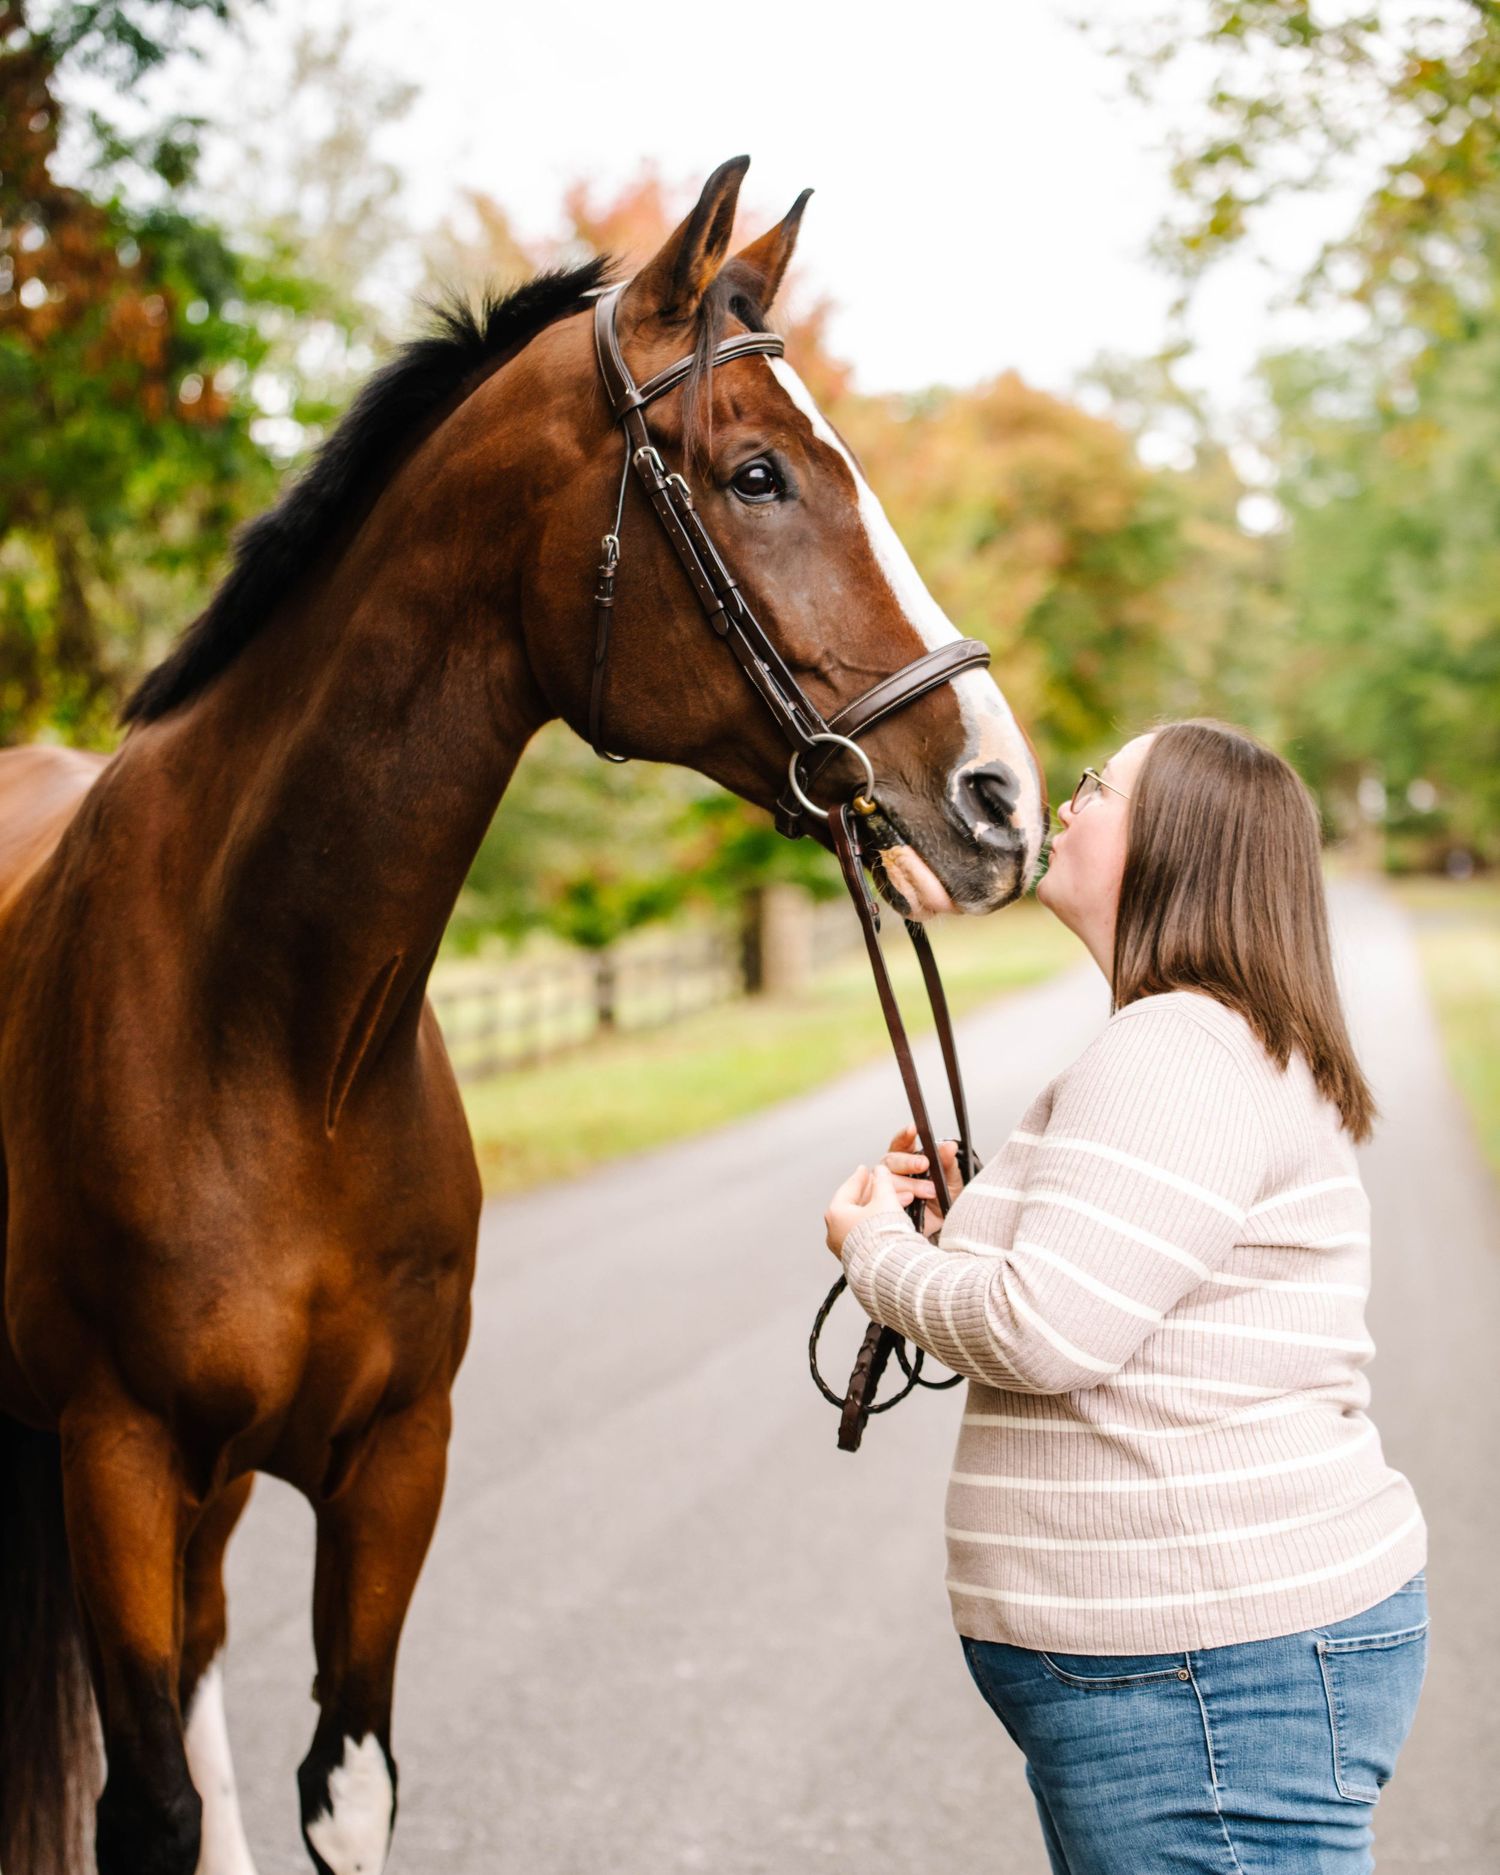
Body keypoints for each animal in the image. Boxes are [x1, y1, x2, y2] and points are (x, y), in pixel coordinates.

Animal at [0, 155, 1045, 1875]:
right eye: (758, 473)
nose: (998, 795)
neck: (275, 1036)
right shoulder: (114, 1455)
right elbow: (148, 1812)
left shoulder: (390, 1459)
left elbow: (343, 1785)